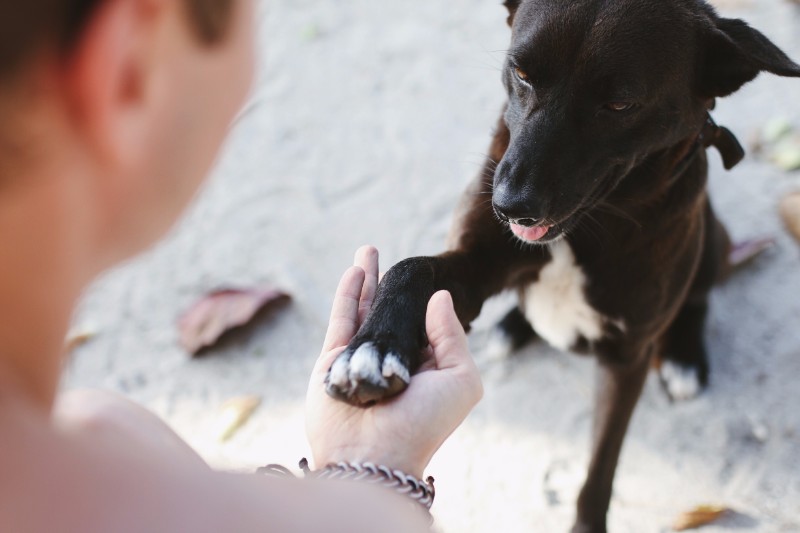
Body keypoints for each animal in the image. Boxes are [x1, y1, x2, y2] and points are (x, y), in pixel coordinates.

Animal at [326, 2, 800, 528]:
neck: (584, 231)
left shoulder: (627, 357)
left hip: (712, 237)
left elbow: (601, 468)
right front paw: (373, 348)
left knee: (698, 295)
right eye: (521, 73)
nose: (510, 207)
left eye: (620, 105)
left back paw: (683, 356)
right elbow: (411, 268)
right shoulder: (474, 265)